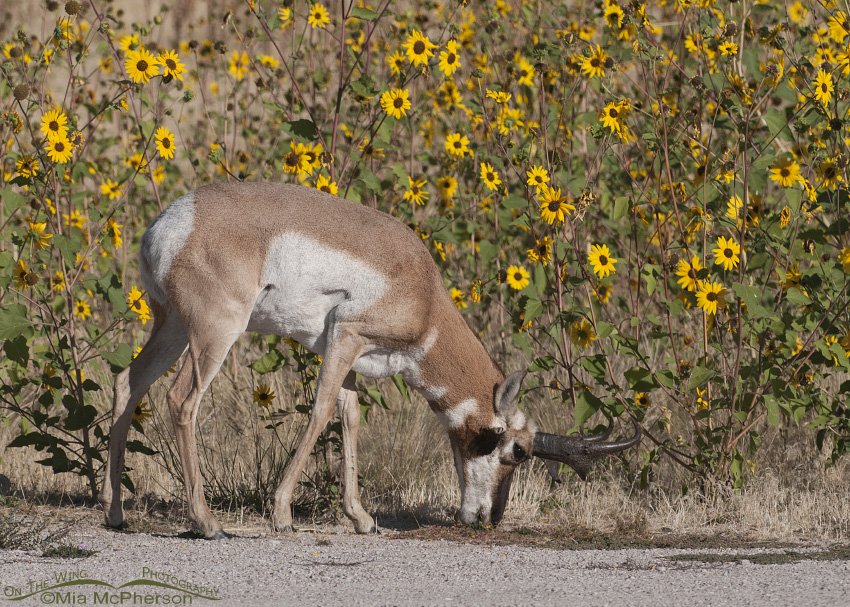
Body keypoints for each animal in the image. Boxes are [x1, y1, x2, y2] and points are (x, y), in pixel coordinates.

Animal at [99, 182, 640, 539]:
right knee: (181, 400)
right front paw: (282, 514)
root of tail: (172, 222)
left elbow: (351, 420)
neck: (424, 299)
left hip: (171, 327)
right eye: (517, 450)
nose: (489, 520)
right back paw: (207, 522)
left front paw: (361, 518)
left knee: (128, 382)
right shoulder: (346, 335)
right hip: (215, 332)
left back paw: (115, 513)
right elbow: (320, 413)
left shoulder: (348, 356)